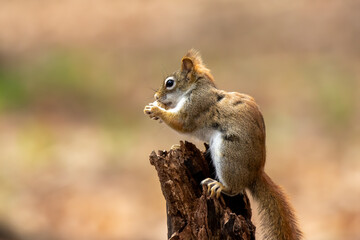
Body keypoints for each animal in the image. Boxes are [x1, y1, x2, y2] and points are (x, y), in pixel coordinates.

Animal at [145, 49, 302, 240]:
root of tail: (256, 173)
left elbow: (181, 122)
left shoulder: (196, 105)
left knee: (234, 189)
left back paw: (220, 185)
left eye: (169, 83)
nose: (156, 96)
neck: (195, 88)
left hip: (228, 155)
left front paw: (156, 109)